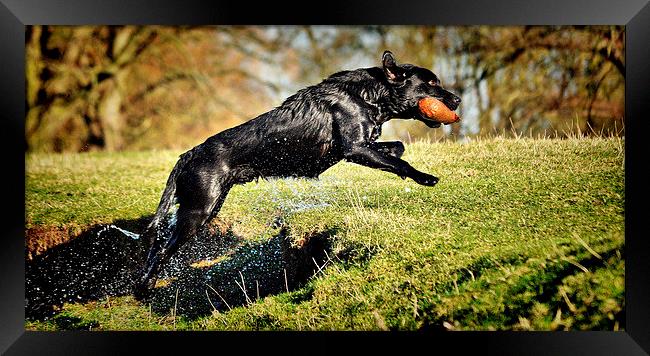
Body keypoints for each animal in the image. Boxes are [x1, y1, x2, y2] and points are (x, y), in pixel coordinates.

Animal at [134, 50, 460, 298]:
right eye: (431, 82)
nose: (456, 100)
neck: (368, 95)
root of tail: (187, 155)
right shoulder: (354, 149)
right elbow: (400, 163)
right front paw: (425, 177)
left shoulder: (363, 146)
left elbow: (398, 148)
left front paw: (400, 158)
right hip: (198, 210)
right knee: (161, 251)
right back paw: (143, 289)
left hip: (207, 207)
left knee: (156, 247)